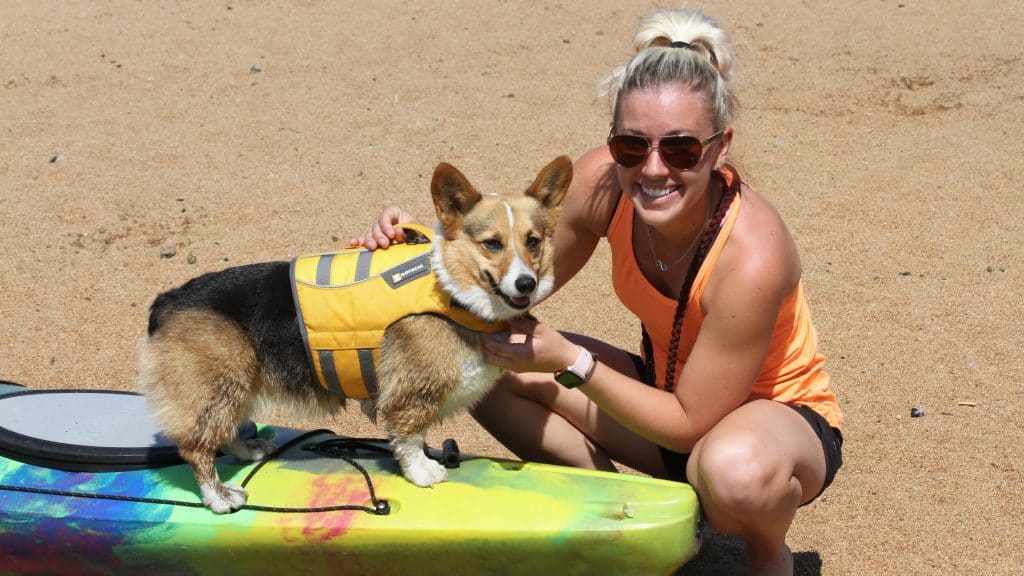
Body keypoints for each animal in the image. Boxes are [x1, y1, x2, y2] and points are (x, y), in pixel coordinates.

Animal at [139, 155, 573, 510]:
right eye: (492, 244)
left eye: (533, 241)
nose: (526, 283)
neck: (451, 292)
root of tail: (167, 300)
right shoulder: (410, 395)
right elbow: (409, 437)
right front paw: (423, 473)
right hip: (221, 383)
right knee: (197, 447)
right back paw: (219, 496)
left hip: (238, 384)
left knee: (222, 432)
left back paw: (248, 448)